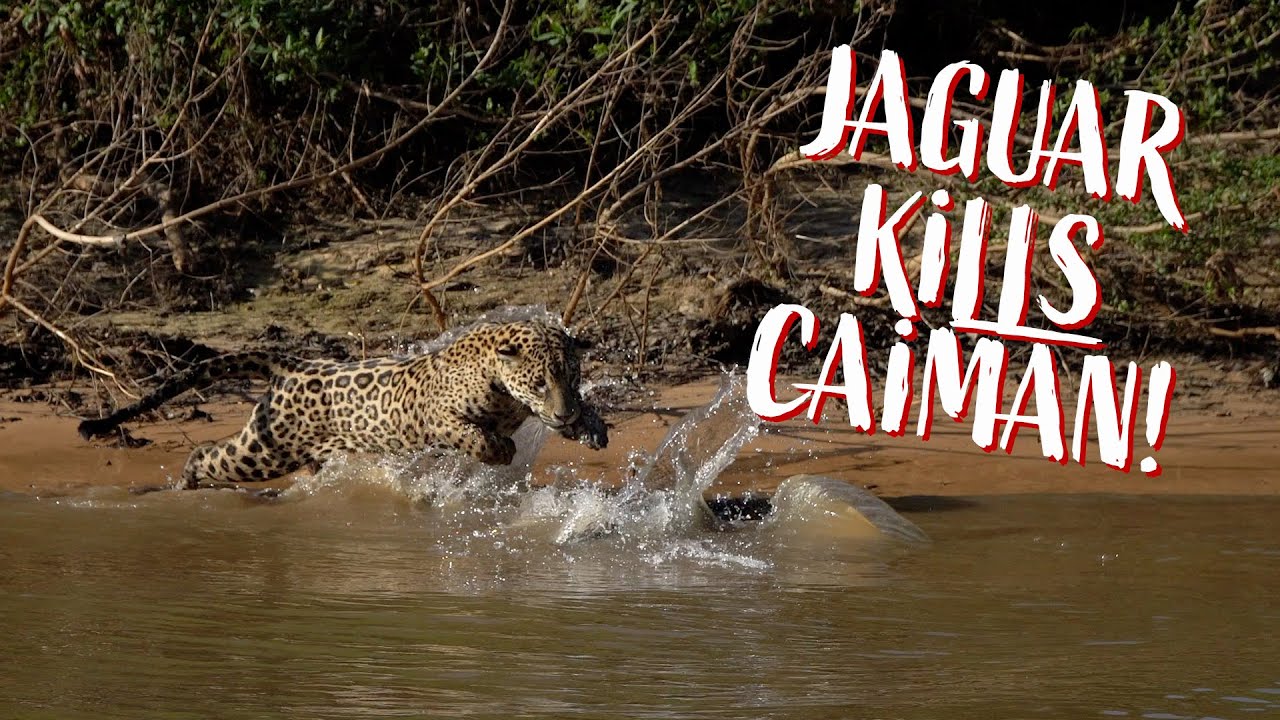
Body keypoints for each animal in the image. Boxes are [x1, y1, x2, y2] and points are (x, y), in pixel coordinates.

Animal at [77, 320, 608, 489]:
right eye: (538, 382)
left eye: (571, 377)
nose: (562, 412)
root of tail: (292, 365)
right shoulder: (433, 416)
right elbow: (468, 433)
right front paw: (499, 450)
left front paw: (593, 426)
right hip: (264, 453)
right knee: (209, 453)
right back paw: (186, 484)